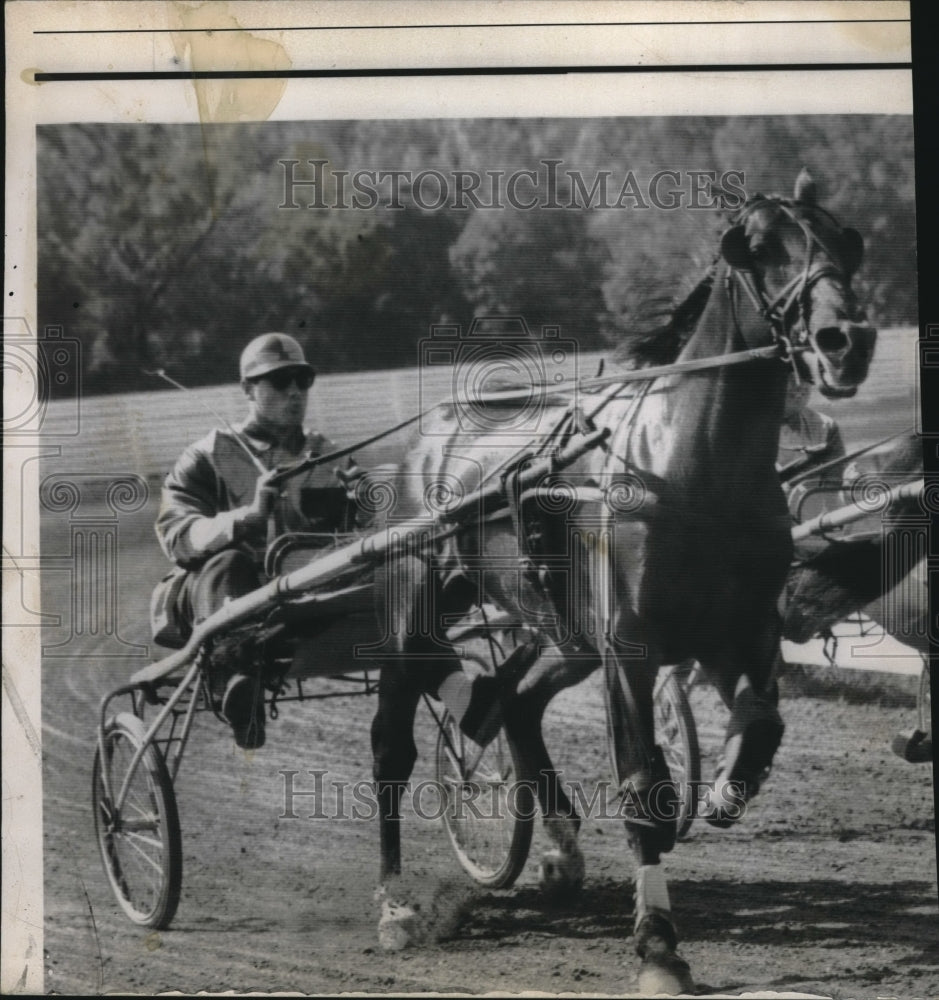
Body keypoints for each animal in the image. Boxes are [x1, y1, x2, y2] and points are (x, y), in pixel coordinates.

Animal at [370, 172, 880, 992]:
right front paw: (658, 947)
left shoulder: (740, 631)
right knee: (395, 739)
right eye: (757, 247)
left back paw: (559, 847)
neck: (690, 464)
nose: (846, 341)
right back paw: (394, 905)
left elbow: (762, 722)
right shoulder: (629, 648)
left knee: (513, 700)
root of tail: (429, 436)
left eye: (843, 239)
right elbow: (642, 787)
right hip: (413, 612)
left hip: (563, 632)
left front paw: (726, 782)